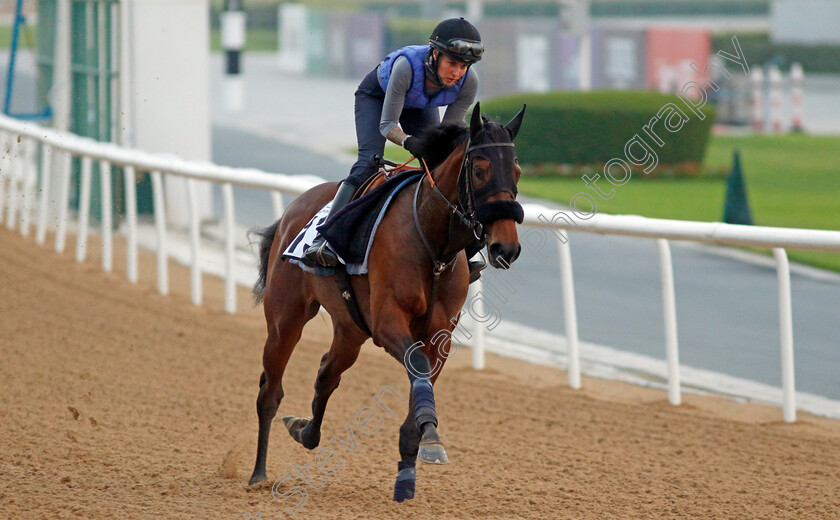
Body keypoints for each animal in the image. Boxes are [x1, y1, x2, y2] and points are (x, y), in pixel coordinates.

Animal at [246, 99, 528, 502]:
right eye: (479, 170)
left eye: (517, 171)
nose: (507, 247)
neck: (432, 244)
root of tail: (293, 208)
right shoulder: (388, 322)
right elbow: (417, 368)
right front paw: (430, 439)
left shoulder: (440, 332)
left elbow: (421, 380)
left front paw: (415, 461)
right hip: (286, 319)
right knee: (270, 390)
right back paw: (258, 473)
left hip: (350, 329)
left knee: (327, 374)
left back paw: (305, 430)